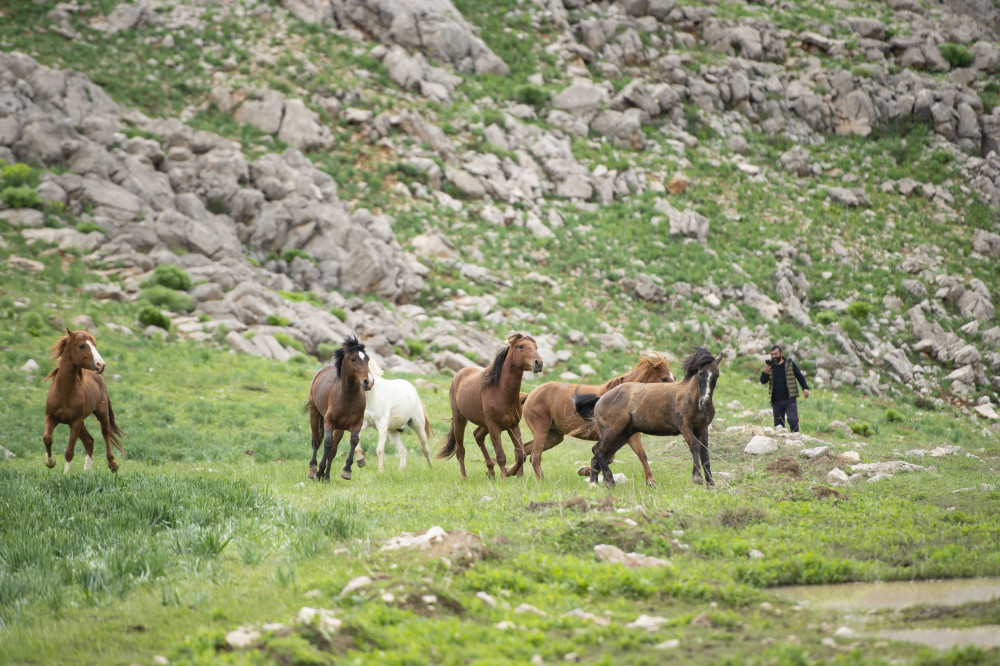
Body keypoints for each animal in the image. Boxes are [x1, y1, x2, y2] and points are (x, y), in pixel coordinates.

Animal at [42, 326, 125, 472]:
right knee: (89, 441)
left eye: (95, 345)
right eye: (81, 346)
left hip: (100, 413)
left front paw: (65, 474)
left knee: (105, 433)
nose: (101, 365)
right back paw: (87, 471)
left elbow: (69, 451)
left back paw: (112, 464)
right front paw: (50, 462)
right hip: (77, 423)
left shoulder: (76, 421)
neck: (65, 392)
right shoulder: (51, 417)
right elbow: (47, 438)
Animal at [302, 334, 374, 480]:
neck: (347, 398)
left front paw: (346, 471)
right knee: (316, 441)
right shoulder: (329, 422)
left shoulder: (356, 424)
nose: (368, 382)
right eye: (353, 359)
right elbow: (327, 443)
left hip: (340, 428)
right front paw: (319, 472)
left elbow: (353, 441)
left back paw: (327, 478)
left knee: (333, 450)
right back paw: (313, 469)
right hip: (314, 413)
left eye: (367, 359)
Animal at [438, 332, 544, 478]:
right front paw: (505, 478)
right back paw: (465, 478)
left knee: (478, 436)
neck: (500, 391)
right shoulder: (494, 426)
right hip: (460, 419)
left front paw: (514, 474)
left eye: (536, 347)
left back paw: (490, 470)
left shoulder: (513, 425)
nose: (539, 363)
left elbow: (521, 454)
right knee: (460, 450)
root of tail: (458, 374)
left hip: (484, 424)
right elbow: (501, 456)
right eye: (521, 346)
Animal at [512, 352, 676, 482]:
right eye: (664, 379)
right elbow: (605, 457)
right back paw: (540, 480)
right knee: (535, 456)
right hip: (541, 430)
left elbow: (642, 455)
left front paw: (651, 481)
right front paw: (588, 472)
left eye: (673, 377)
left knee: (523, 451)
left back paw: (514, 474)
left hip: (554, 436)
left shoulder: (632, 436)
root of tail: (531, 394)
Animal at [576, 348, 724, 488]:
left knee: (598, 456)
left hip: (622, 435)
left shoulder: (703, 429)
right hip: (613, 431)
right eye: (701, 373)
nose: (704, 403)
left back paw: (594, 484)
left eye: (717, 375)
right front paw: (697, 477)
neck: (689, 397)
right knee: (597, 450)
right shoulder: (685, 427)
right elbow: (693, 446)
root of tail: (600, 399)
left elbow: (705, 455)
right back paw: (609, 481)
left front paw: (711, 485)